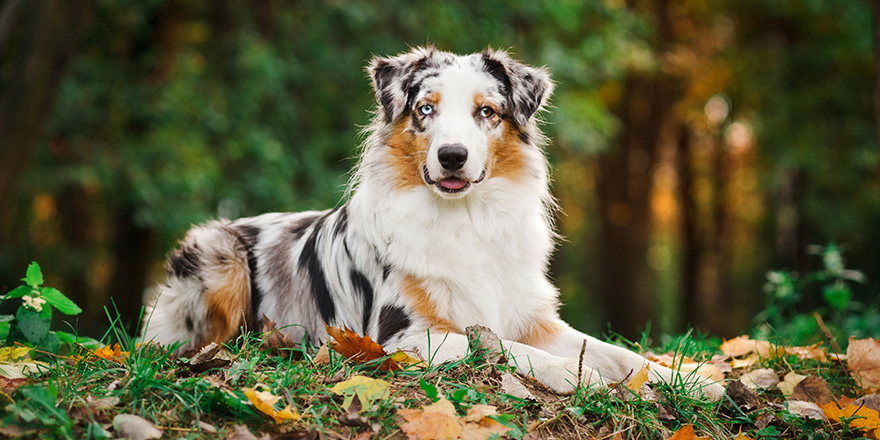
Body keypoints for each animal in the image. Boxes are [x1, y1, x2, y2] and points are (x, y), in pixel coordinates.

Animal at [143, 45, 720, 398]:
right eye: (425, 109)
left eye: (487, 112)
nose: (452, 156)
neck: (466, 217)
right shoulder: (402, 336)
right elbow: (503, 347)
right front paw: (573, 376)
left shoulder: (534, 318)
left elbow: (614, 352)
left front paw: (693, 379)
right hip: (218, 254)